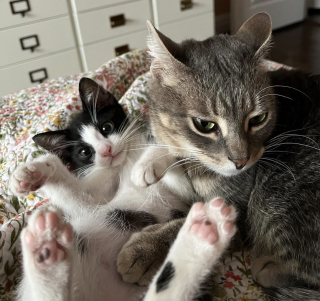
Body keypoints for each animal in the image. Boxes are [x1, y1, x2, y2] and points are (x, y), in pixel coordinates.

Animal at [9, 78, 238, 300]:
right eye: (85, 152)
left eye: (106, 128)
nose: (106, 150)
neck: (126, 161)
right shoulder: (95, 198)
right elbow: (78, 196)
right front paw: (32, 172)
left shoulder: (186, 190)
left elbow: (170, 152)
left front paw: (147, 165)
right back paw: (46, 250)